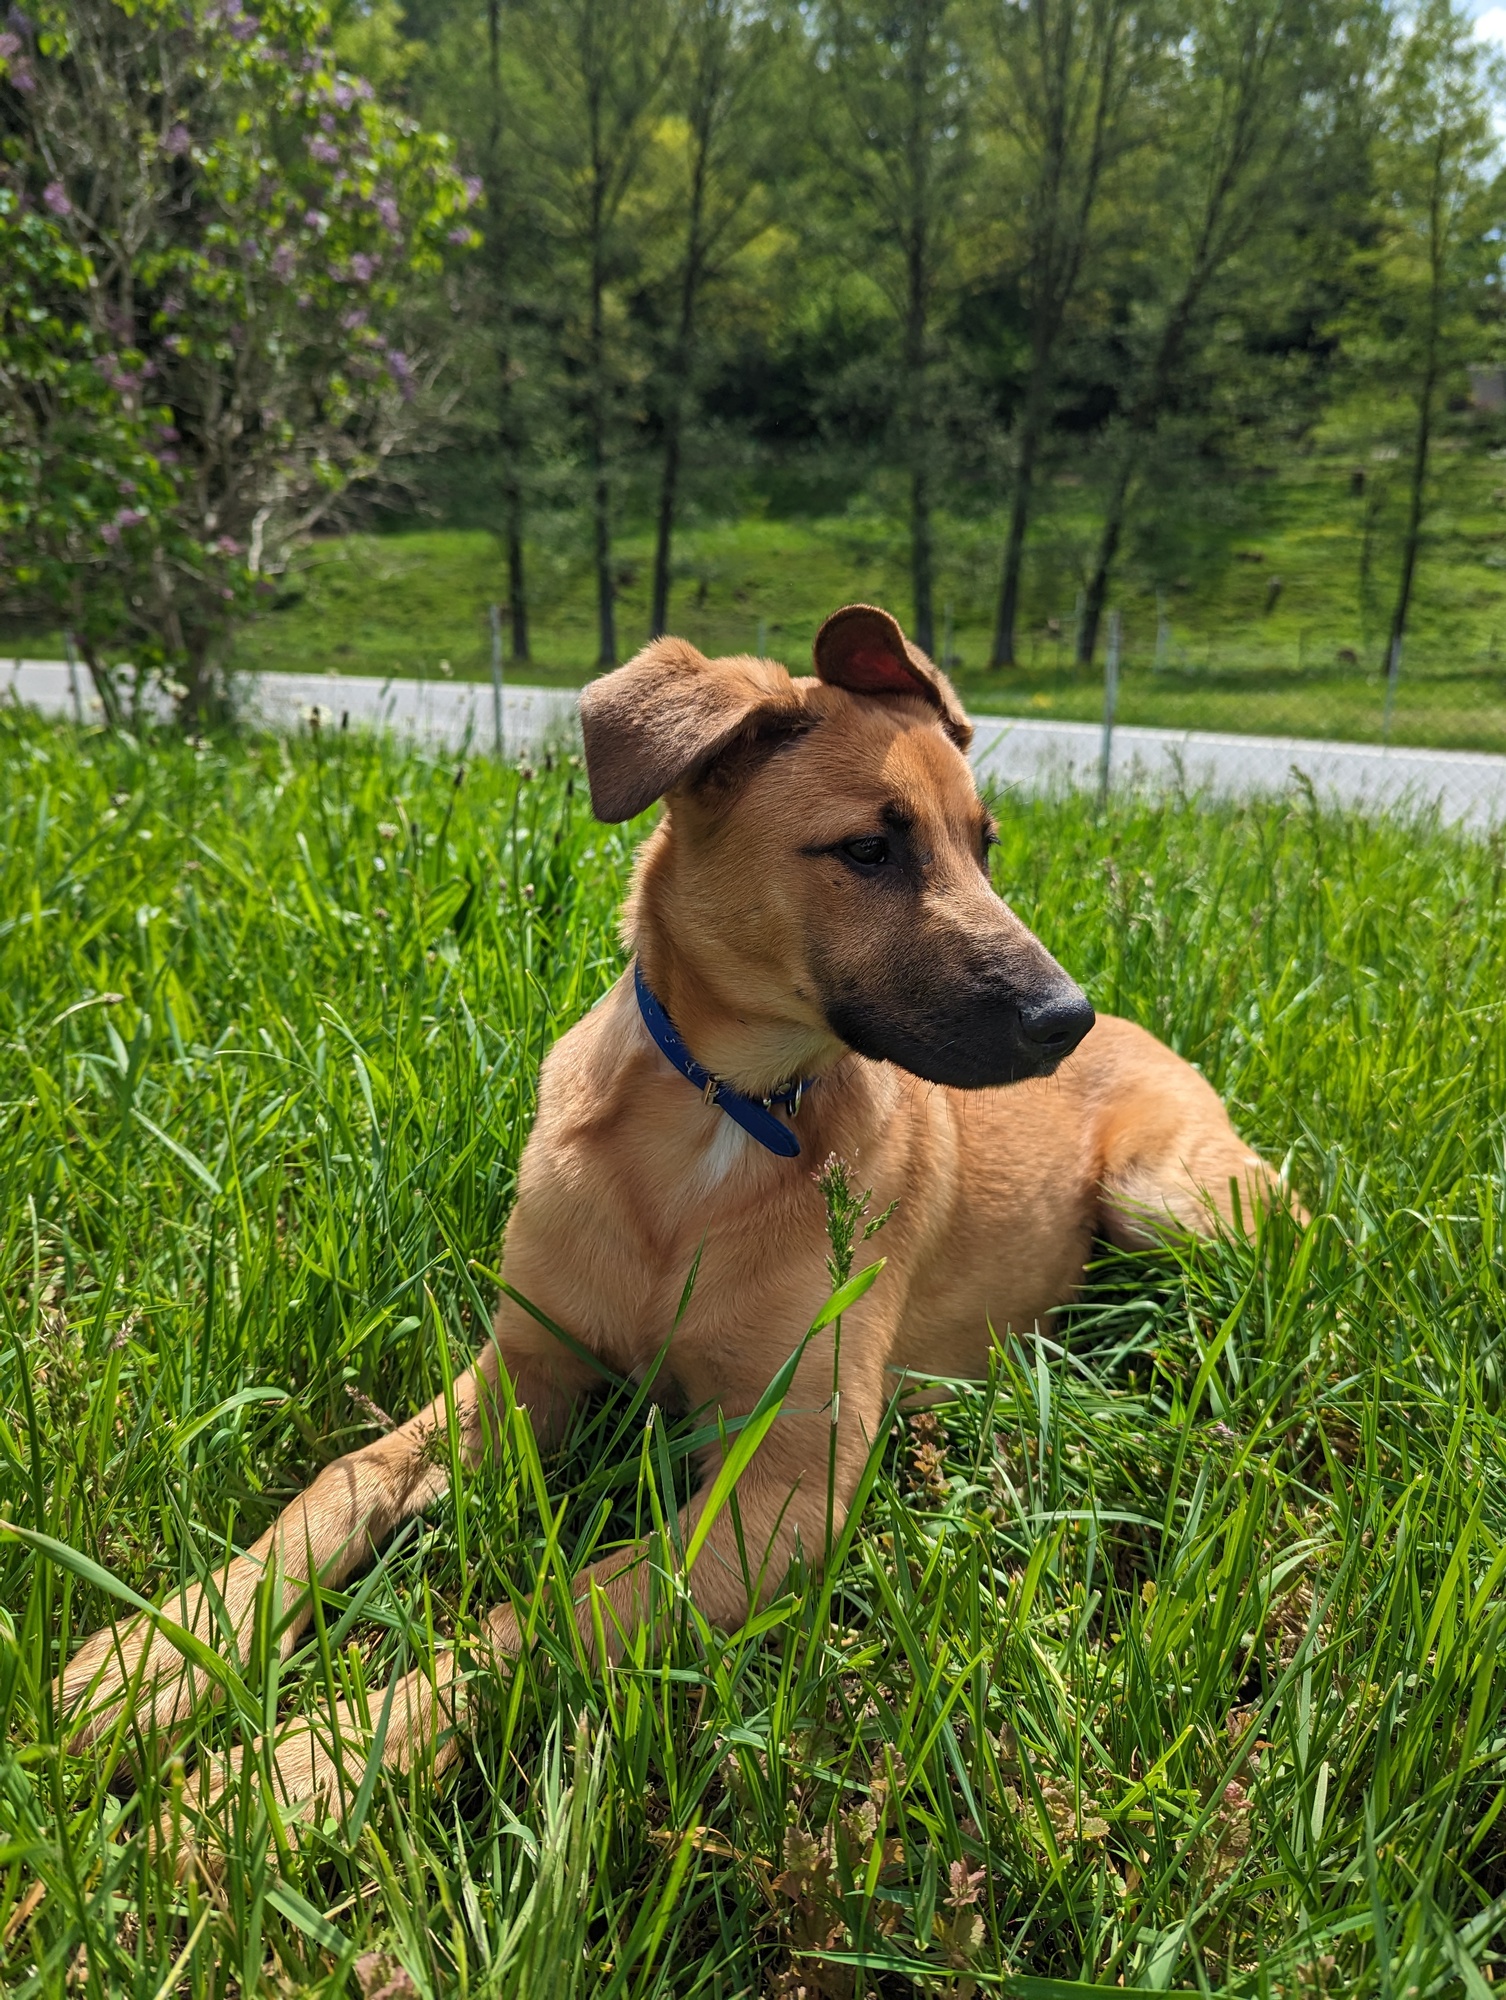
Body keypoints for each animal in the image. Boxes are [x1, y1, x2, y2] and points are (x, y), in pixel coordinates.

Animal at [63, 602, 1294, 1841]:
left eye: (982, 846)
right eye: (869, 849)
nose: (1063, 1018)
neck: (721, 1117)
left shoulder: (790, 1475)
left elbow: (552, 1607)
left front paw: (304, 1769)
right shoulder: (525, 1368)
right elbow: (345, 1478)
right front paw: (159, 1652)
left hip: (1165, 1196)